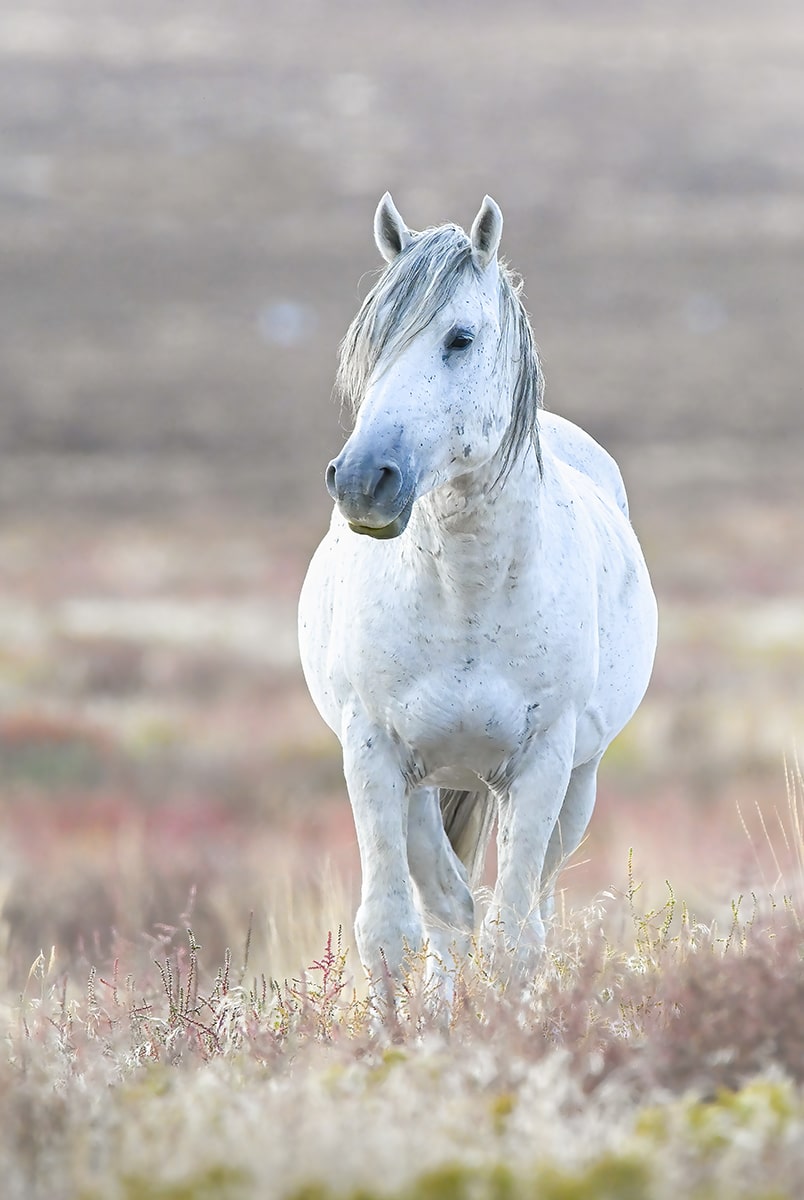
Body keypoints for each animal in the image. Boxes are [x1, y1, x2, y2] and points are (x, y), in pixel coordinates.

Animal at [298, 194, 657, 984]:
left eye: (459, 339)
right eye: (368, 346)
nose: (364, 480)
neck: (467, 595)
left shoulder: (543, 761)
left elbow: (513, 938)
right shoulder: (373, 750)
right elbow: (394, 930)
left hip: (576, 784)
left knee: (523, 907)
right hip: (426, 781)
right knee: (446, 909)